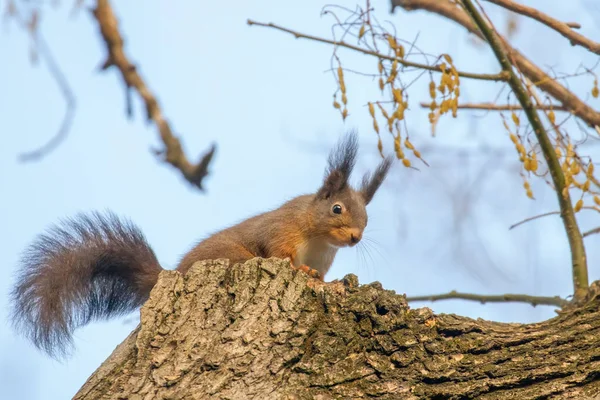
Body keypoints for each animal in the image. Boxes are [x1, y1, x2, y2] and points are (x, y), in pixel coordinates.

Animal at [11, 132, 394, 360]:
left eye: (367, 218)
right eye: (337, 209)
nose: (355, 237)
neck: (317, 240)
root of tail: (171, 274)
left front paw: (329, 282)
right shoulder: (281, 229)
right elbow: (278, 252)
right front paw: (302, 270)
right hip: (231, 257)